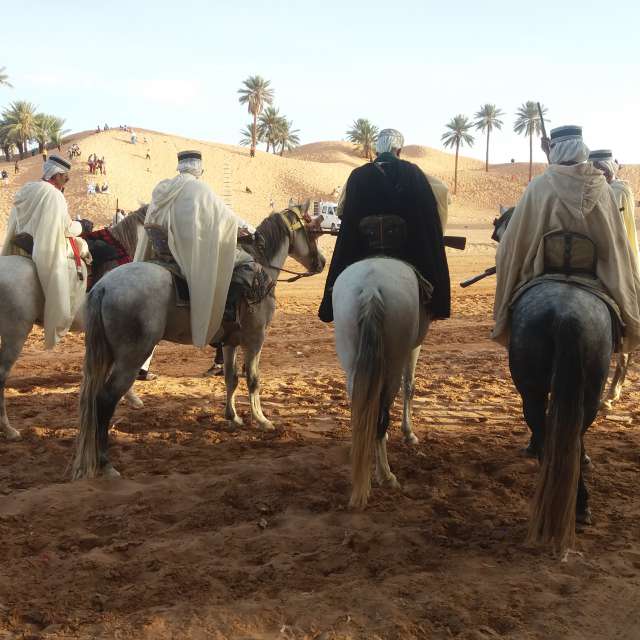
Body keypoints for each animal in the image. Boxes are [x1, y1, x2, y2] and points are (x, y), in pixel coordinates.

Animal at [72, 205, 328, 480]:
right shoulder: (255, 338)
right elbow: (253, 379)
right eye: (312, 230)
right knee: (105, 400)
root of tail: (104, 287)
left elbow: (231, 378)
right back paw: (105, 463)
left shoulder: (230, 343)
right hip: (130, 359)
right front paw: (261, 420)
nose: (322, 262)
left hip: (109, 355)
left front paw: (233, 417)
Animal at [336, 258, 430, 508]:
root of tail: (371, 287)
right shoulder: (413, 347)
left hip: (352, 362)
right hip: (394, 363)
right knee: (381, 415)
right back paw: (386, 476)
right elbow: (410, 386)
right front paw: (408, 433)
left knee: (362, 411)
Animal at [508, 282, 612, 552]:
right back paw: (580, 506)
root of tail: (567, 317)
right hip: (590, 390)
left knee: (542, 423)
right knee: (572, 432)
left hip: (532, 385)